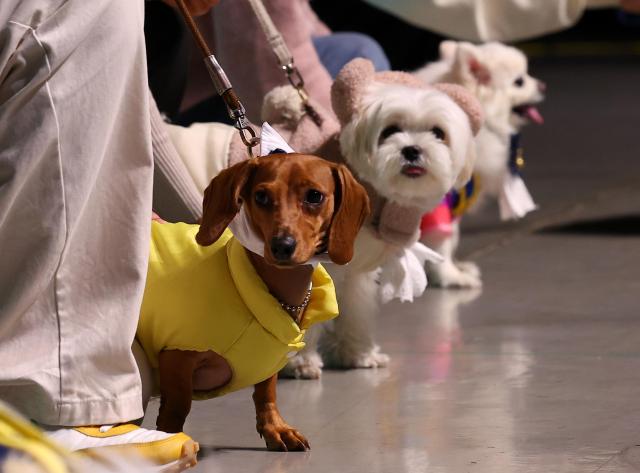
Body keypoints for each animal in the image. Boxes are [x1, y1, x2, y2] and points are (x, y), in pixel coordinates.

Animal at [416, 42, 544, 288]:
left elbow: (450, 241)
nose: (543, 85)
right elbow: (442, 245)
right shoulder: (436, 203)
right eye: (520, 81)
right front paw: (450, 276)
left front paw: (455, 268)